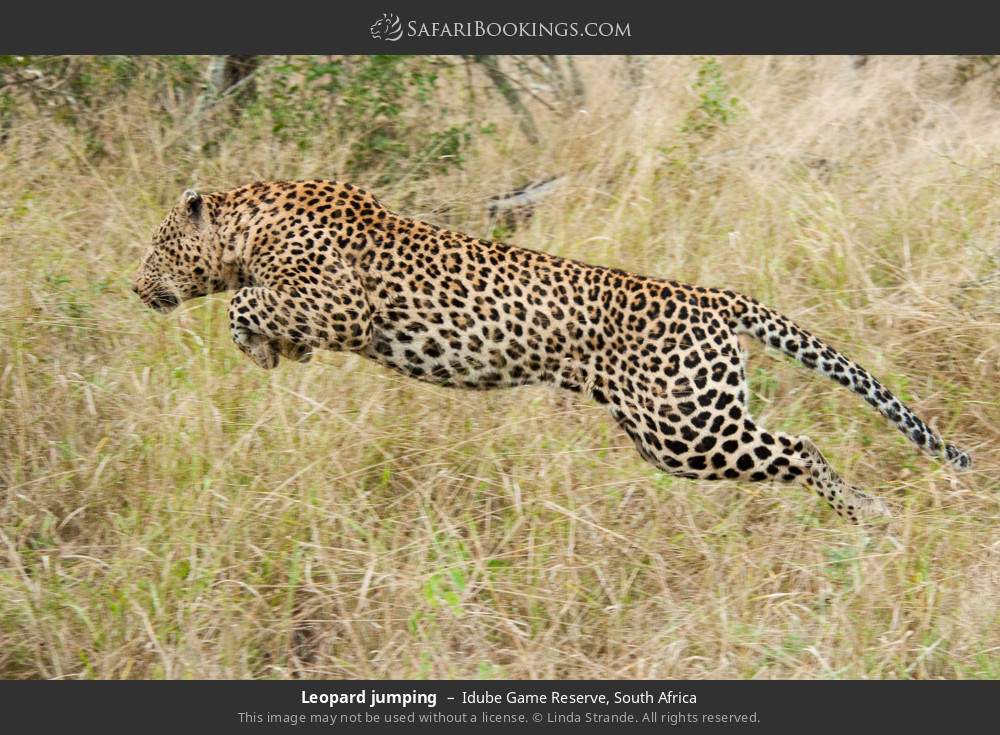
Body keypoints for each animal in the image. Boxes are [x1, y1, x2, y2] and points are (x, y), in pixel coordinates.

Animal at [132, 180, 972, 524]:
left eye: (156, 245)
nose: (135, 286)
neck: (249, 224)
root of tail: (712, 296)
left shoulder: (343, 305)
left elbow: (246, 303)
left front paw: (255, 341)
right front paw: (277, 352)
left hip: (687, 428)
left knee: (801, 447)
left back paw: (868, 513)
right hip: (673, 429)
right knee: (797, 446)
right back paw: (868, 510)